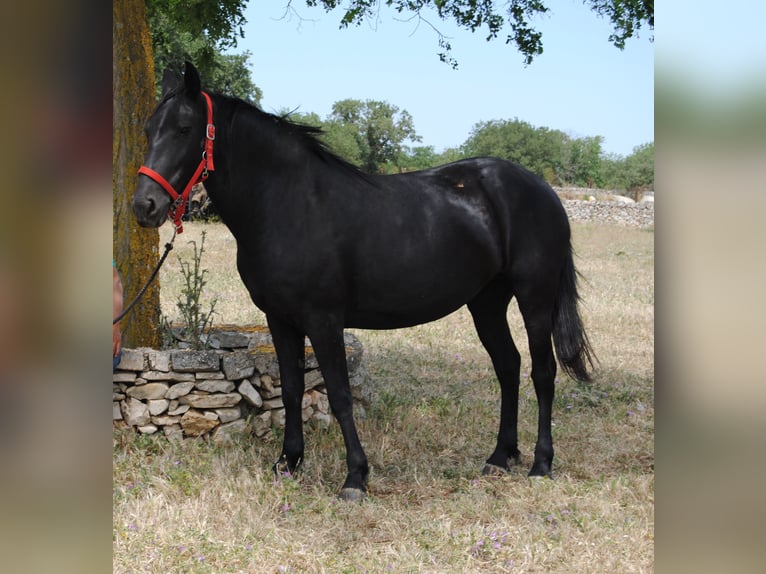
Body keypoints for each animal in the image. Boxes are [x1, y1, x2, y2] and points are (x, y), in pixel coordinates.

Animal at [132, 62, 595, 501]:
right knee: (508, 366)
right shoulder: (280, 320)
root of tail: (542, 189)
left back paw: (541, 463)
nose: (145, 206)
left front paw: (355, 477)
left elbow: (339, 395)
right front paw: (287, 463)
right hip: (486, 301)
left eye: (184, 128)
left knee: (542, 371)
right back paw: (500, 457)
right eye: (148, 129)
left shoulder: (323, 320)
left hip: (535, 298)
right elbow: (291, 389)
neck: (290, 204)